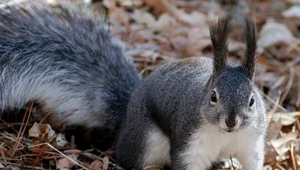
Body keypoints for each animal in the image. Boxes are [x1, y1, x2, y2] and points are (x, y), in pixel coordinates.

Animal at [116, 17, 268, 170]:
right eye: (213, 96)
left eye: (252, 101)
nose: (231, 122)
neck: (224, 133)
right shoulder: (190, 144)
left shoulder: (252, 143)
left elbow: (253, 161)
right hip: (144, 141)